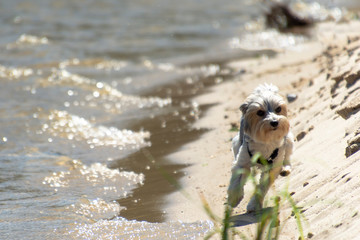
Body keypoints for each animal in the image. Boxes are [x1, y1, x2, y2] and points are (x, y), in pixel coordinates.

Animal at [228, 83, 292, 211]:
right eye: (260, 112)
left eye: (278, 109)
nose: (274, 122)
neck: (265, 141)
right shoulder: (242, 160)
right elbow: (237, 179)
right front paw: (234, 198)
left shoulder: (272, 167)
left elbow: (263, 187)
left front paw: (254, 204)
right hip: (237, 143)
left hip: (288, 140)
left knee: (287, 156)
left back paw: (285, 168)